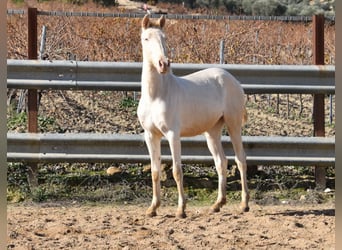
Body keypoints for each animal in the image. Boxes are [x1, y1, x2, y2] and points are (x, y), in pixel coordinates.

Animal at [138, 14, 250, 218]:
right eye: (146, 38)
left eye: (164, 38)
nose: (163, 64)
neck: (156, 95)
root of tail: (232, 79)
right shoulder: (151, 135)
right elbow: (155, 171)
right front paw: (153, 208)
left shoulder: (173, 135)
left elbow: (176, 171)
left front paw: (181, 209)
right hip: (212, 131)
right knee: (221, 162)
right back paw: (217, 204)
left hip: (233, 125)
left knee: (240, 160)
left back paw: (244, 204)